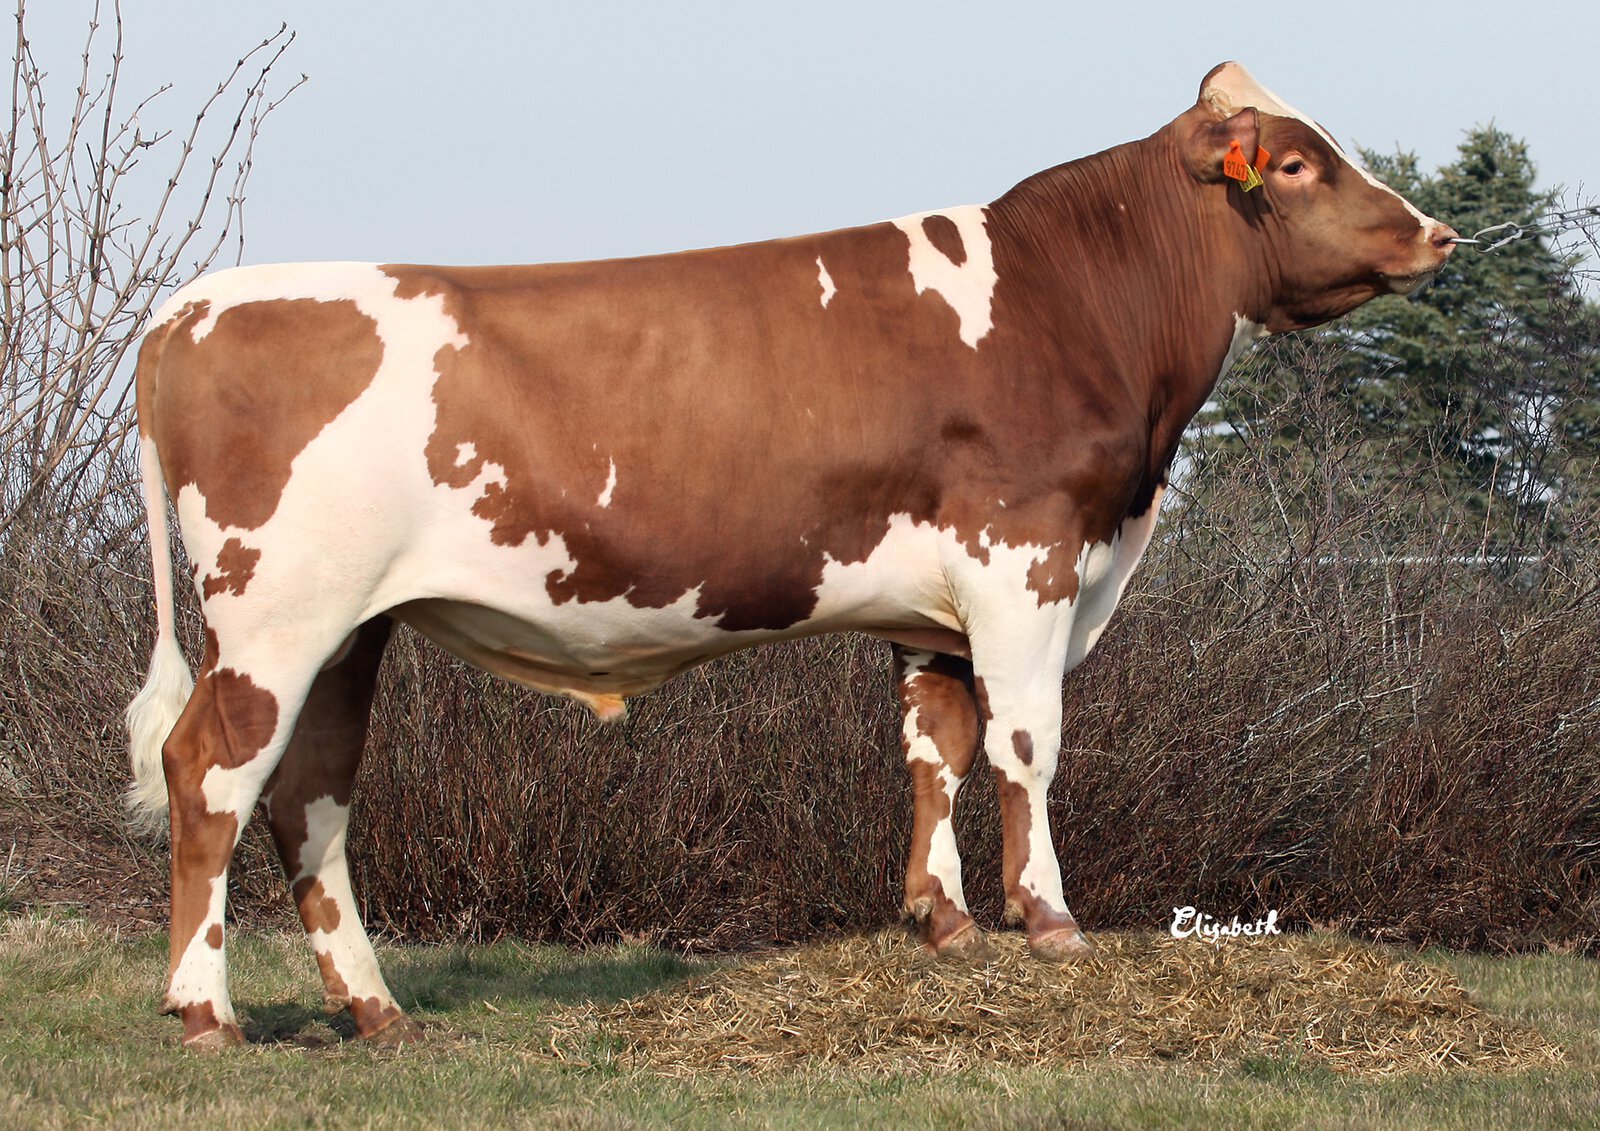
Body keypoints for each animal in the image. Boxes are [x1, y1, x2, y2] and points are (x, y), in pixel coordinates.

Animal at [126, 62, 1456, 1048]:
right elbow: (1028, 740)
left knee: (310, 797)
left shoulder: (935, 606)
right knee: (211, 773)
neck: (1073, 306)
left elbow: (936, 748)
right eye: (1296, 164)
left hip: (350, 627)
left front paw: (943, 924)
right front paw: (1049, 922)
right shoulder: (1024, 554)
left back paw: (377, 1011)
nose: (1436, 235)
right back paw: (205, 1014)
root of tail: (195, 307)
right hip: (274, 616)